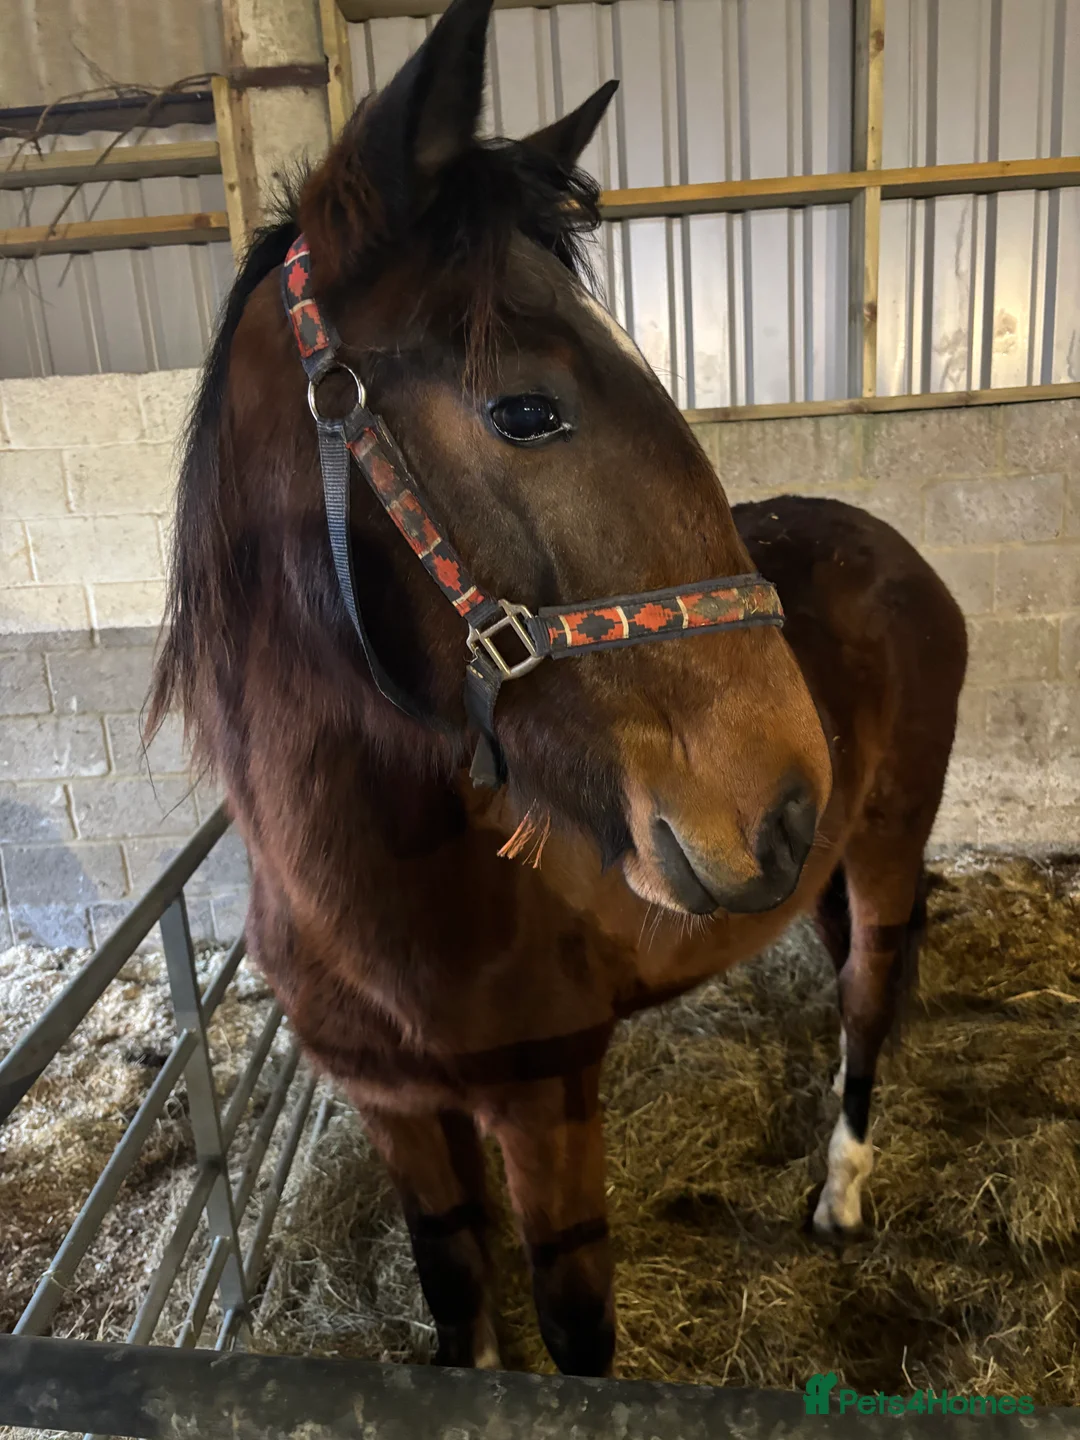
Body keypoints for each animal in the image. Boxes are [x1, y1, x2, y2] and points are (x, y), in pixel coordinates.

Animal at [149, 0, 967, 1378]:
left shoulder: (549, 1113)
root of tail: (898, 554)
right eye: (524, 411)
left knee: (868, 1004)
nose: (782, 800)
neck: (386, 901)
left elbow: (576, 1348)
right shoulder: (400, 1118)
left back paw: (842, 1194)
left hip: (886, 846)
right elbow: (458, 1307)